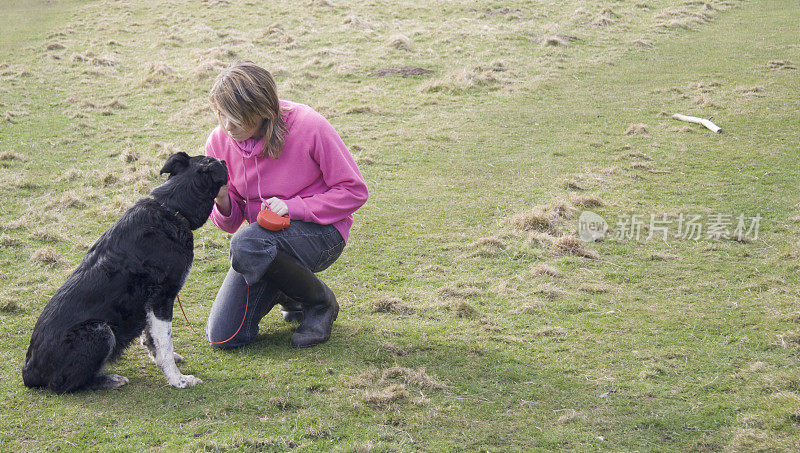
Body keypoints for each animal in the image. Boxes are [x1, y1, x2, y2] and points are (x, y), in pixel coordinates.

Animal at [22, 152, 228, 392]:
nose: (225, 161)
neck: (172, 208)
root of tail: (29, 370)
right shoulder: (161, 298)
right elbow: (165, 342)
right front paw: (178, 380)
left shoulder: (149, 303)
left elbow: (152, 338)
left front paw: (159, 361)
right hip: (100, 331)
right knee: (63, 385)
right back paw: (109, 380)